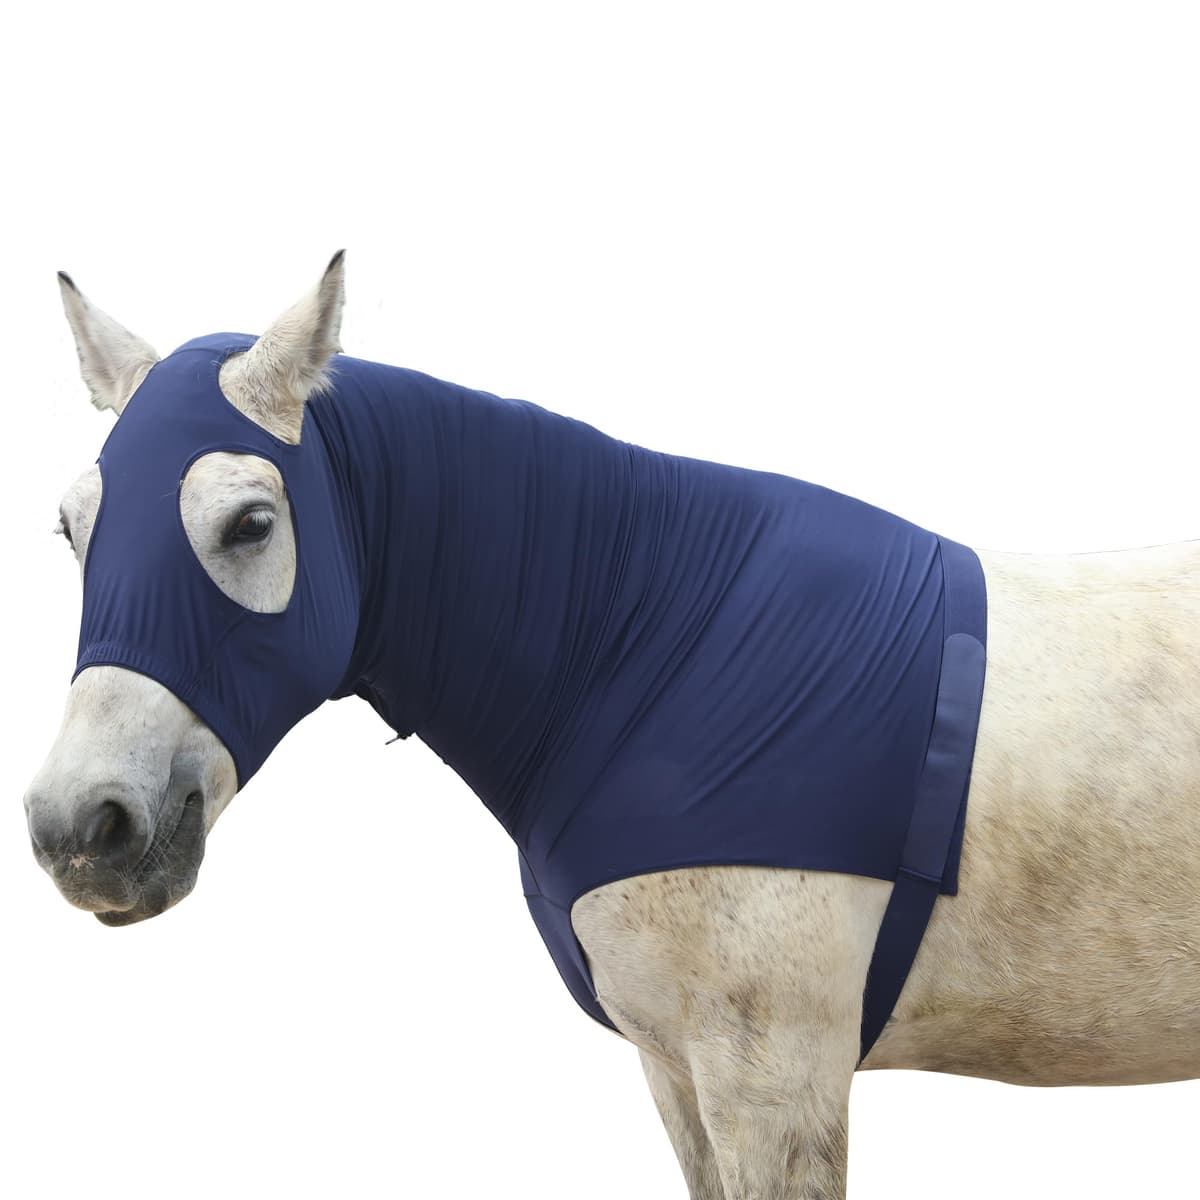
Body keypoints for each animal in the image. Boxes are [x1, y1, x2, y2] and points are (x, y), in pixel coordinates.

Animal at [24, 253, 1200, 1200]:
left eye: (252, 523)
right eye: (72, 528)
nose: (82, 828)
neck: (657, 651)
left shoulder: (777, 1083)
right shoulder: (678, 1070)